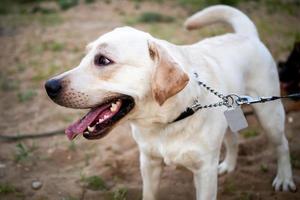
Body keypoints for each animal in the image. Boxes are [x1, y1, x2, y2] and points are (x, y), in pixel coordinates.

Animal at [45, 5, 296, 200]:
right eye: (84, 57)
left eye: (103, 60)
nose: (49, 86)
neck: (167, 121)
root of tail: (247, 35)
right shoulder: (149, 163)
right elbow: (149, 194)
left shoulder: (204, 172)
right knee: (232, 139)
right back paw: (228, 165)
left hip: (269, 113)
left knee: (282, 144)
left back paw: (284, 178)